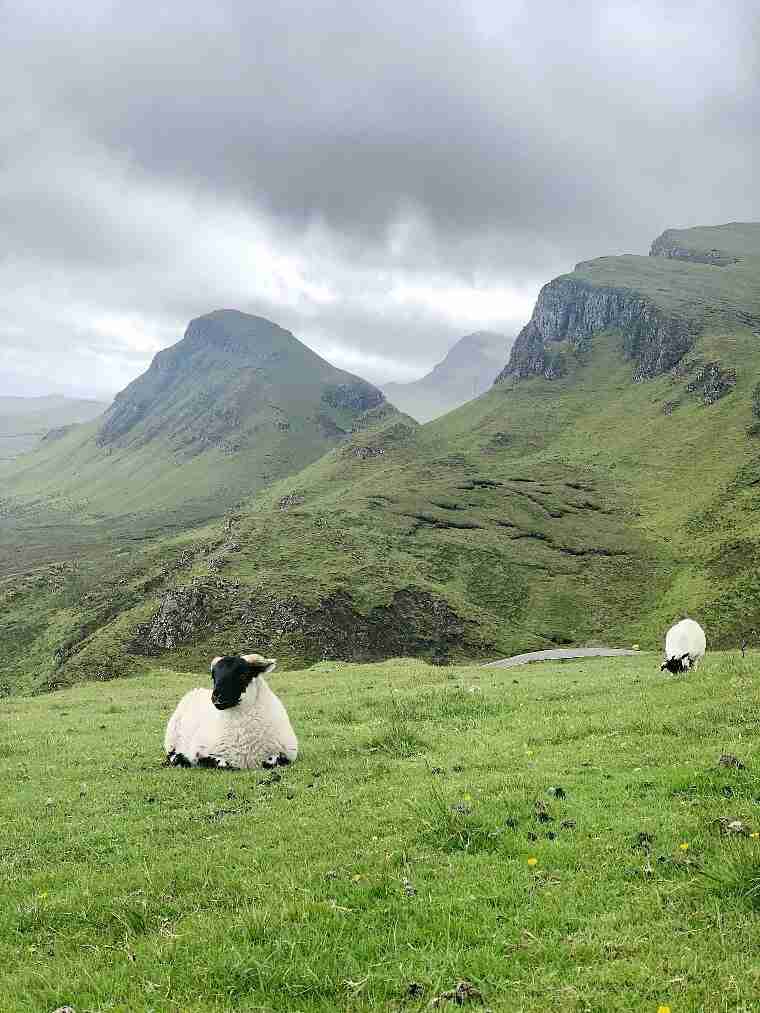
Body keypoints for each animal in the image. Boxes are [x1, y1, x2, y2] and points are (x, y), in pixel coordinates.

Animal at [165, 656, 299, 765]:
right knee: (170, 754)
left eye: (243, 675)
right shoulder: (200, 753)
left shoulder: (288, 754)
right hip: (171, 738)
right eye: (213, 677)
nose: (216, 697)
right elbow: (221, 763)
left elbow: (272, 761)